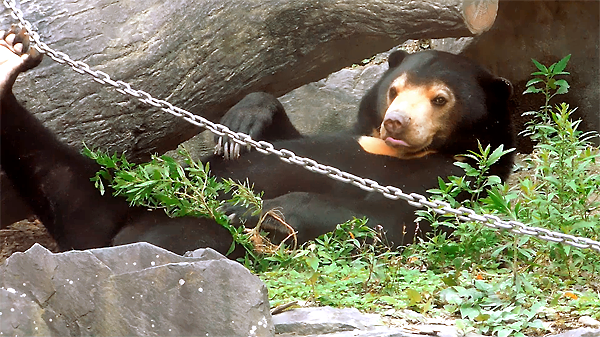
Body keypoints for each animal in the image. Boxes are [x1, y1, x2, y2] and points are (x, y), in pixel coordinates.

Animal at [1, 25, 516, 253]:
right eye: (395, 90)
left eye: (440, 99)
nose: (394, 124)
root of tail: (110, 235)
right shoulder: (340, 133)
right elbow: (280, 132)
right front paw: (241, 124)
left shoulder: (454, 184)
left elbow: (391, 224)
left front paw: (260, 211)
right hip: (112, 194)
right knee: (61, 173)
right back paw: (11, 60)